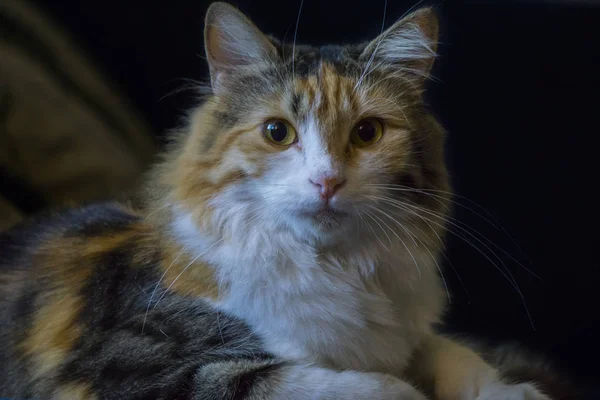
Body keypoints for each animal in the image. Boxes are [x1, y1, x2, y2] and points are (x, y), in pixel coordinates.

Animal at [2, 3, 560, 400]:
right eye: (277, 132)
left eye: (368, 133)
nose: (327, 181)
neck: (333, 268)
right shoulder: (137, 364)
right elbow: (367, 386)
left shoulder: (406, 331)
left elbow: (450, 351)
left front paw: (512, 392)